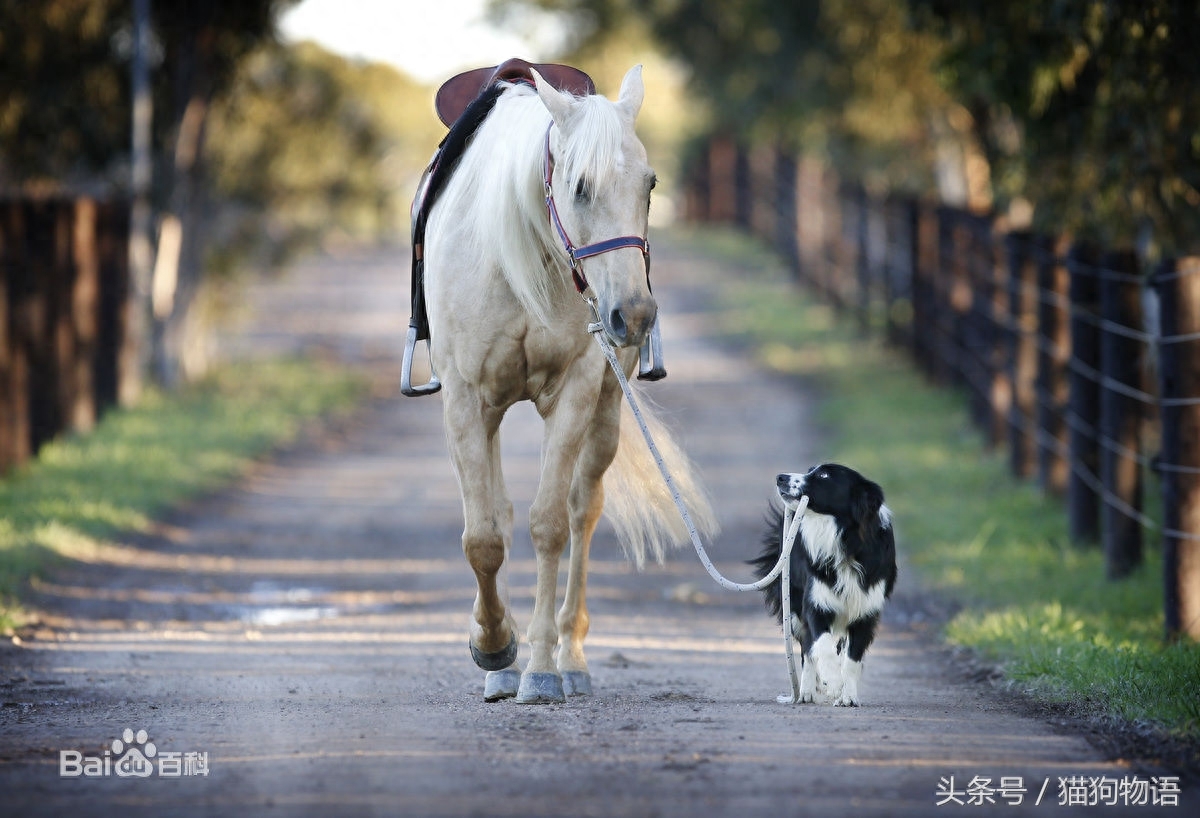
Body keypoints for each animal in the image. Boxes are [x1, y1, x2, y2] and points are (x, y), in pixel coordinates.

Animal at [427, 65, 715, 700]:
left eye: (651, 186)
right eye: (579, 187)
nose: (634, 315)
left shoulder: (577, 391)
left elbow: (551, 525)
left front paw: (539, 666)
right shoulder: (465, 400)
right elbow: (483, 537)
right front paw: (494, 646)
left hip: (607, 407)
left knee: (585, 509)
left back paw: (572, 658)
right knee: (498, 513)